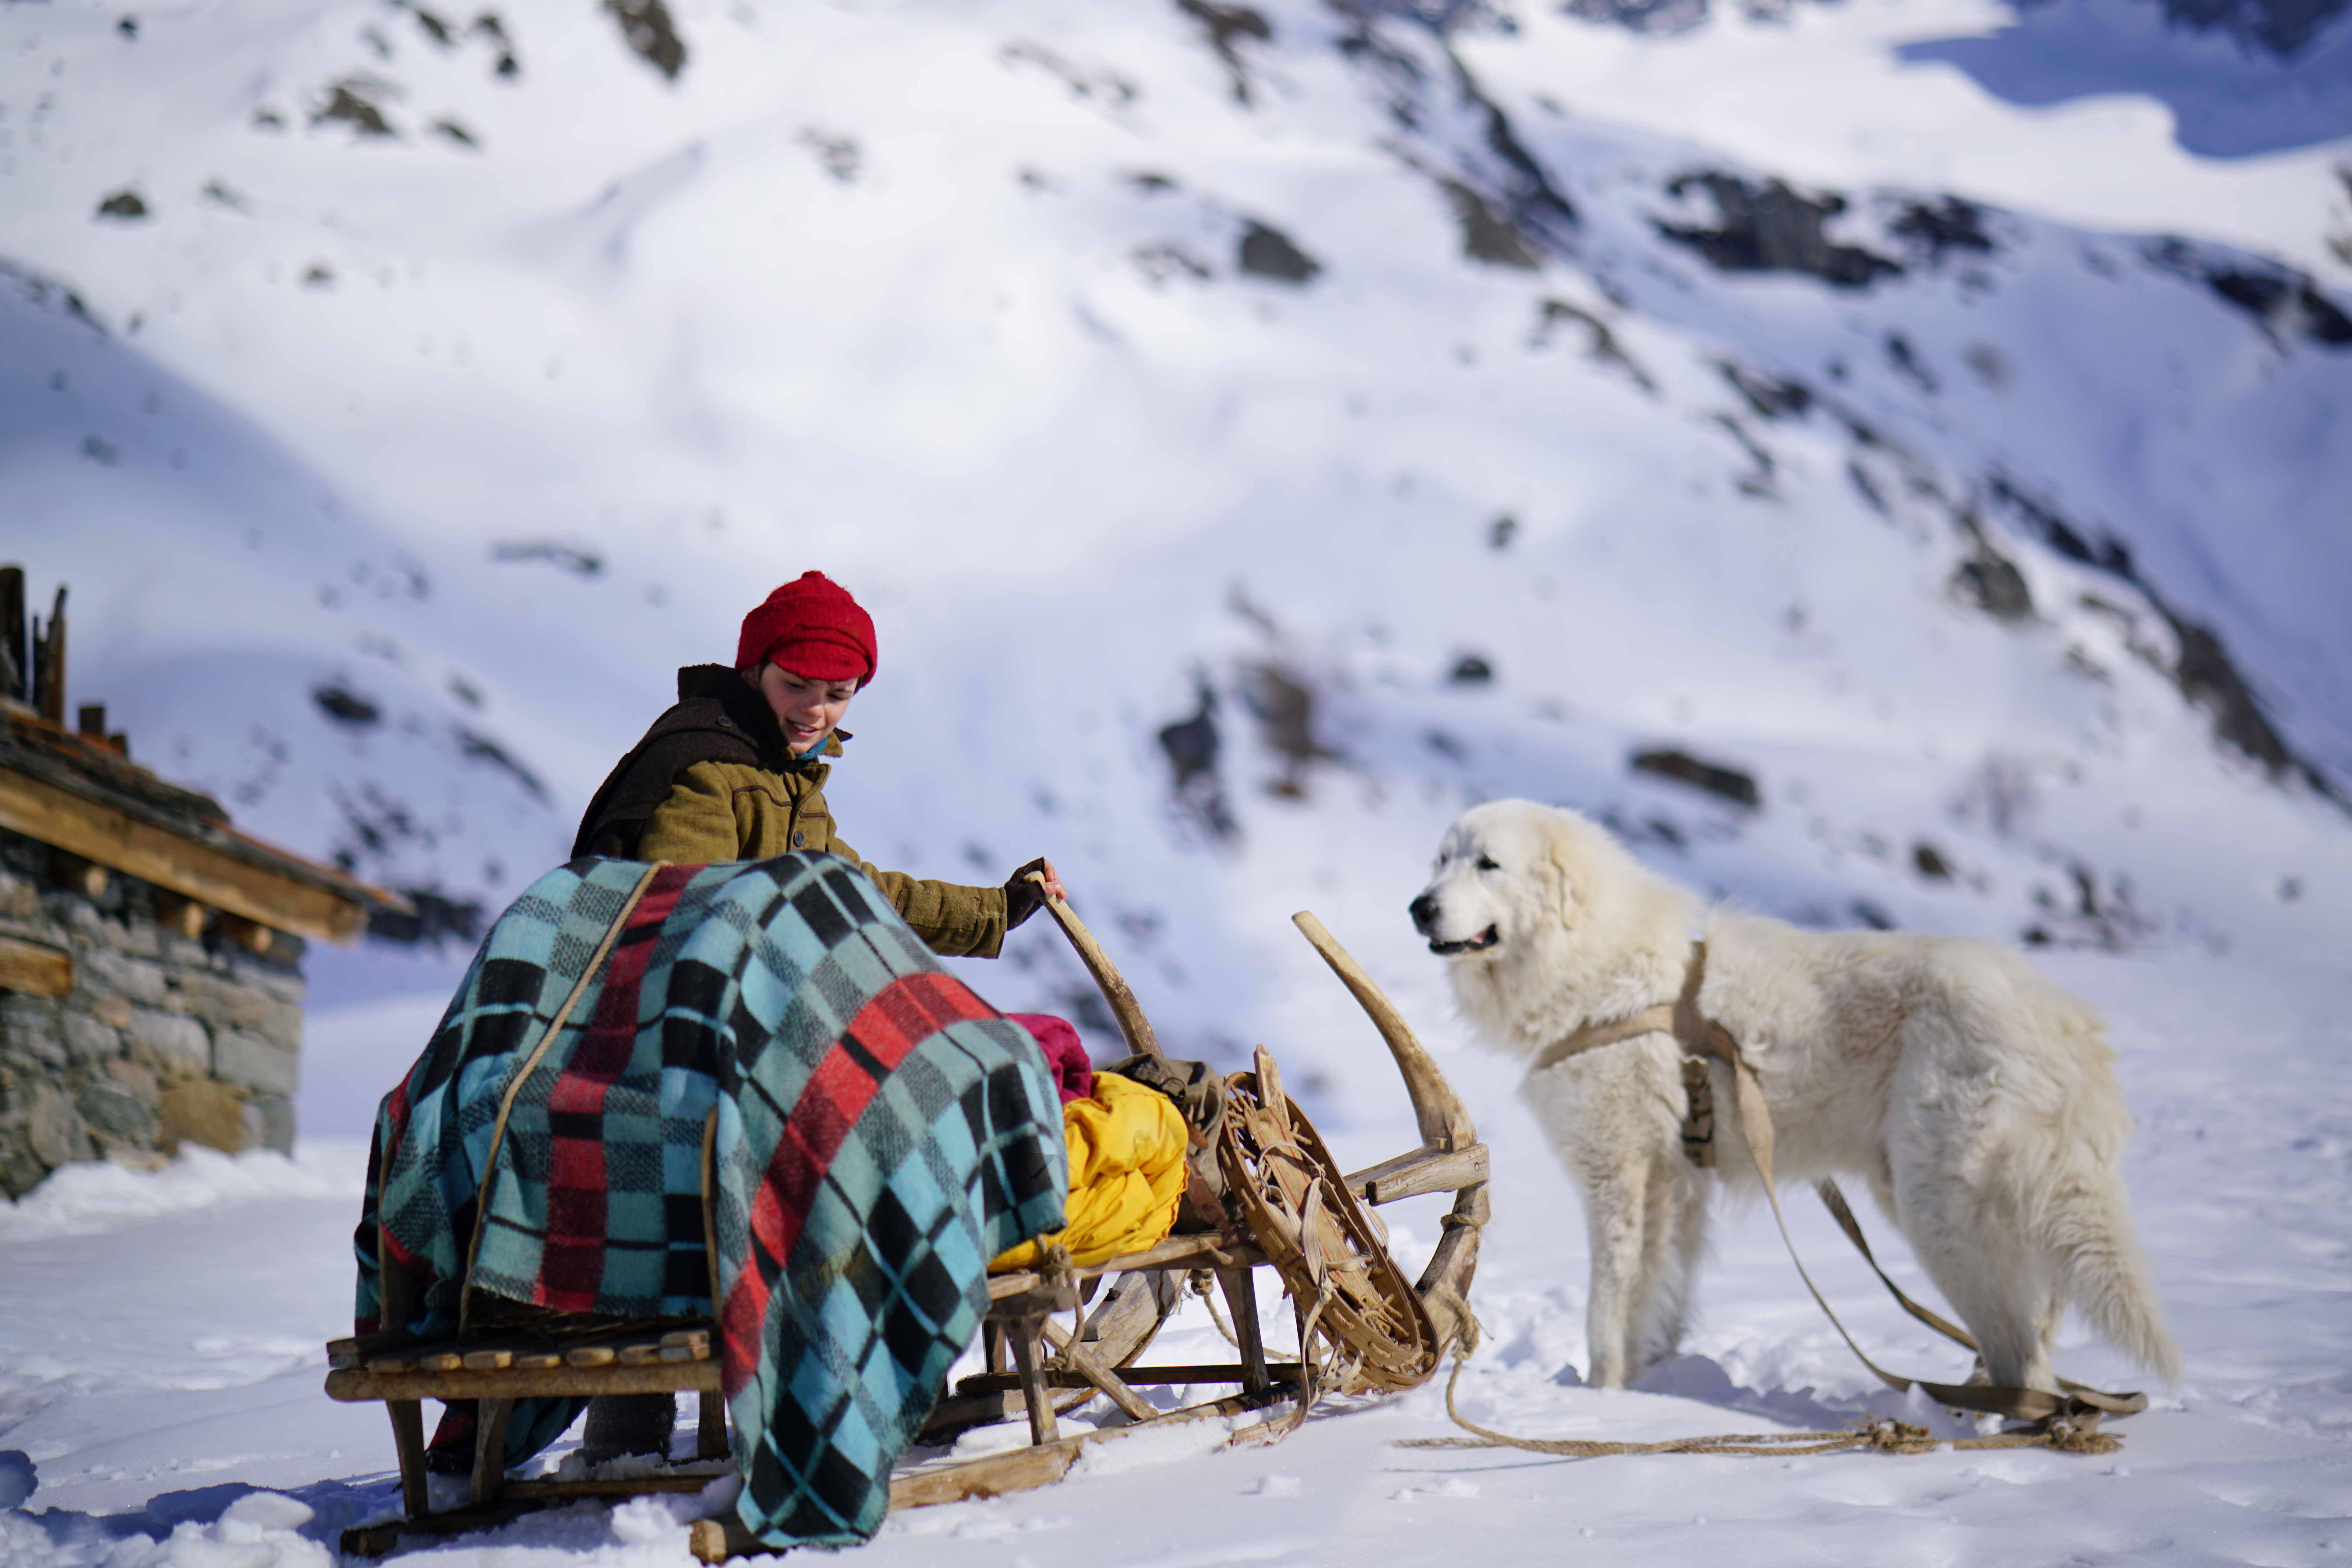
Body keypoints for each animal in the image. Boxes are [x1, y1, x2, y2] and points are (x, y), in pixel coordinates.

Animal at [1402, 804, 2173, 1391]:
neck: (1593, 968)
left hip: (1942, 1213)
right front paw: (1653, 1385)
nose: (1418, 906)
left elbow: (1605, 1310)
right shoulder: (1676, 1190)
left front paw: (1601, 1396)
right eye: (1439, 859)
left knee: (2024, 1353)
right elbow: (1658, 1299)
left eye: (1488, 864)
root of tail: (2067, 1024)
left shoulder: (1618, 1177)